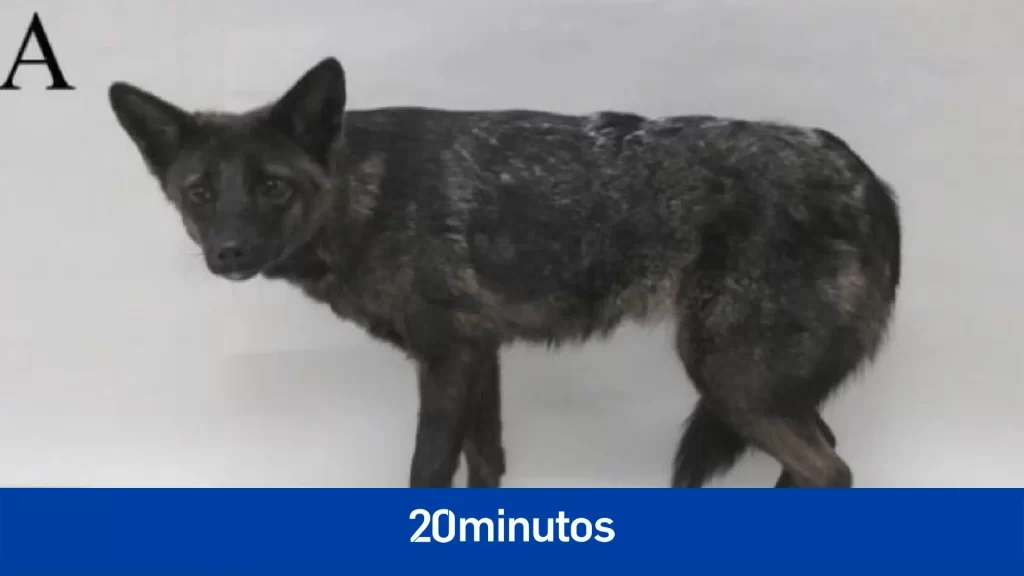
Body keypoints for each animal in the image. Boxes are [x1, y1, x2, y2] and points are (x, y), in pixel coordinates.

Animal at [108, 57, 900, 488]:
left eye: (272, 187)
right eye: (200, 192)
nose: (229, 252)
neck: (369, 193)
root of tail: (867, 176)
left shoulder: (447, 359)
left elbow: (427, 470)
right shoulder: (479, 355)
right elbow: (485, 465)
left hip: (731, 379)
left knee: (831, 468)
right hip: (755, 388)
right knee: (823, 455)